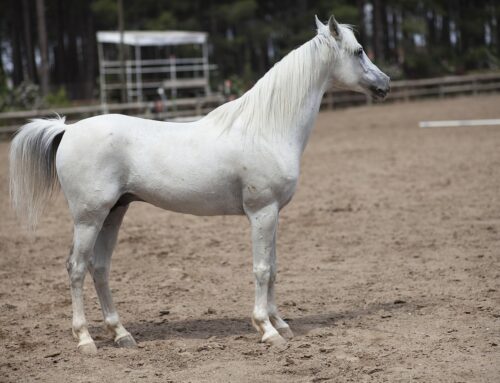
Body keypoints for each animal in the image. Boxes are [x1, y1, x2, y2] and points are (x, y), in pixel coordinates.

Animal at [8, 16, 390, 356]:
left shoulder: (274, 214)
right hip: (89, 218)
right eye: (359, 51)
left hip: (113, 213)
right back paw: (86, 340)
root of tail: (68, 129)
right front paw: (266, 329)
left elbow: (274, 267)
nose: (385, 84)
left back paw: (121, 335)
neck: (267, 127)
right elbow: (261, 269)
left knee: (99, 268)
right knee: (76, 268)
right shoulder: (261, 212)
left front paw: (281, 323)